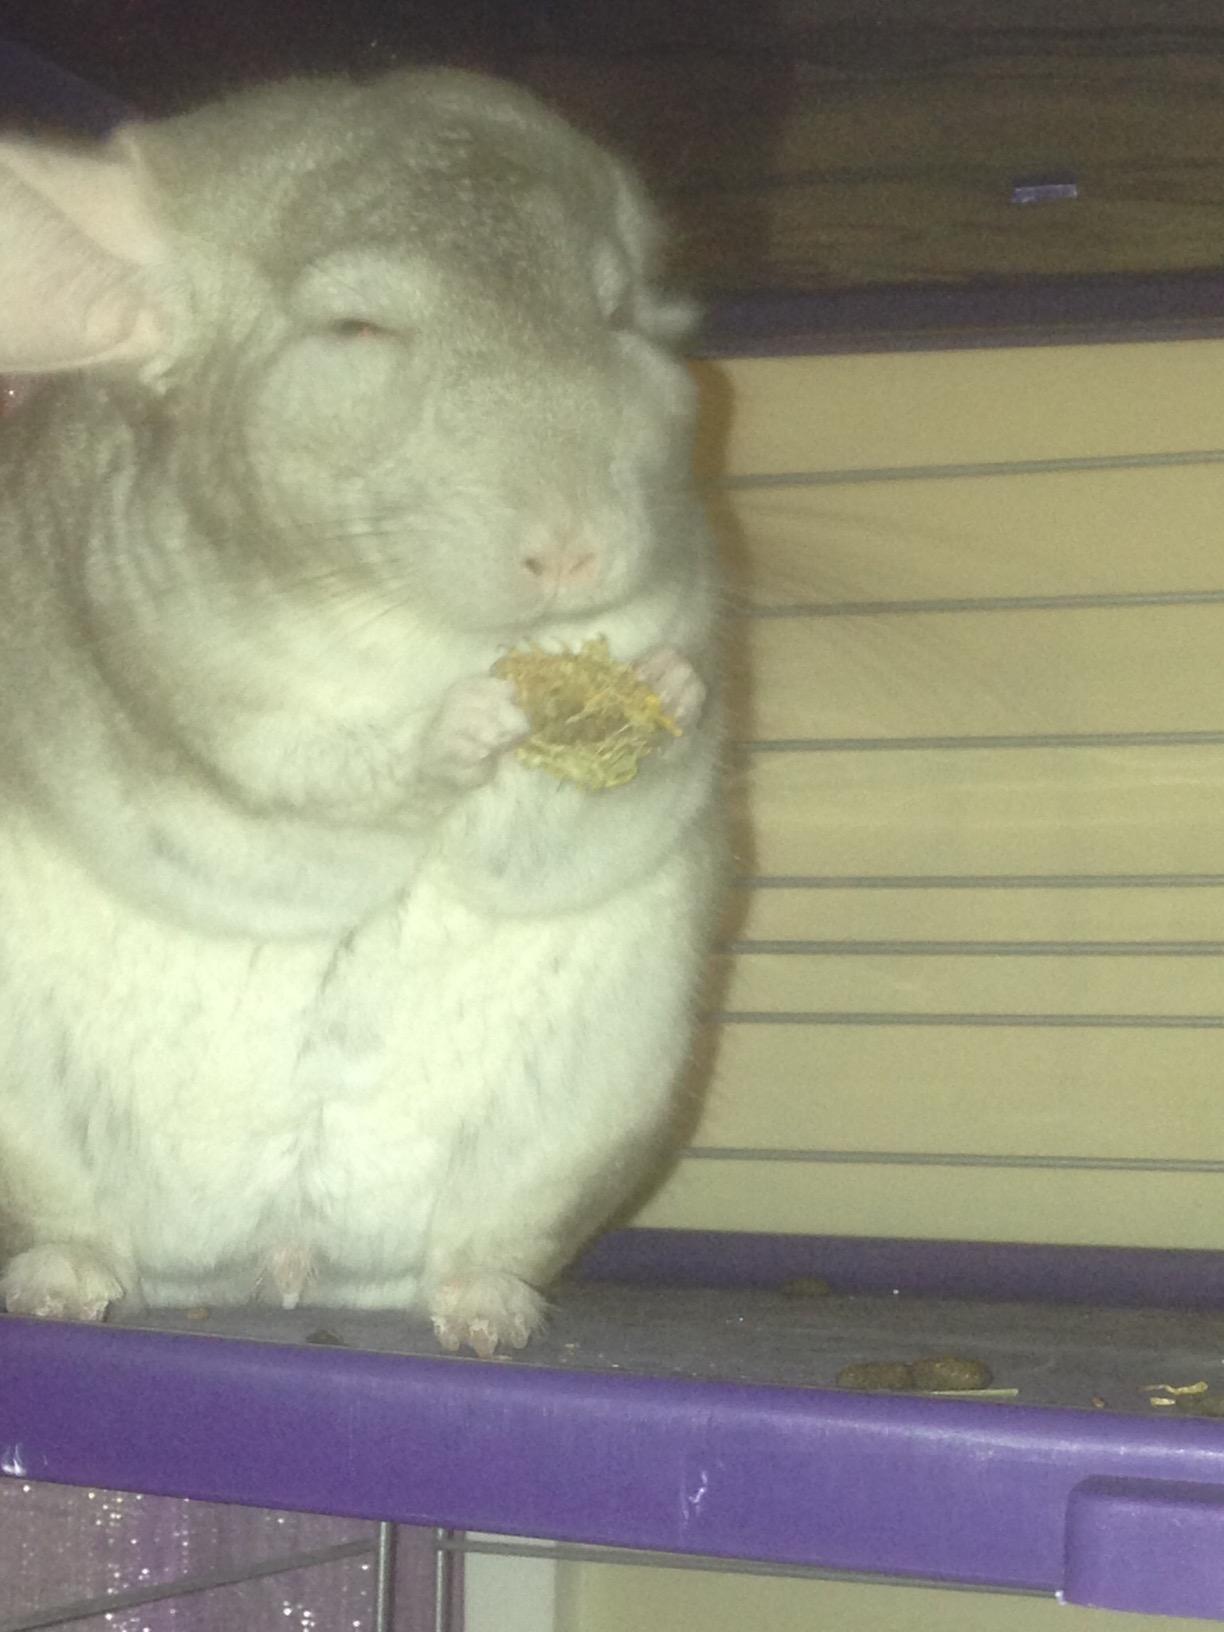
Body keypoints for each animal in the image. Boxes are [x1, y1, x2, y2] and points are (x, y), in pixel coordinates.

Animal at [0, 68, 726, 1357]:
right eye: (357, 330)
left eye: (615, 314)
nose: (581, 552)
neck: (422, 636)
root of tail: (278, 1261)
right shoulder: (213, 737)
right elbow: (349, 773)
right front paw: (469, 724)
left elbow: (581, 801)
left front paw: (672, 690)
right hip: (30, 1141)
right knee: (77, 1230)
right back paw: (63, 1287)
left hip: (590, 1119)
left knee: (480, 1251)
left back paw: (487, 1315)